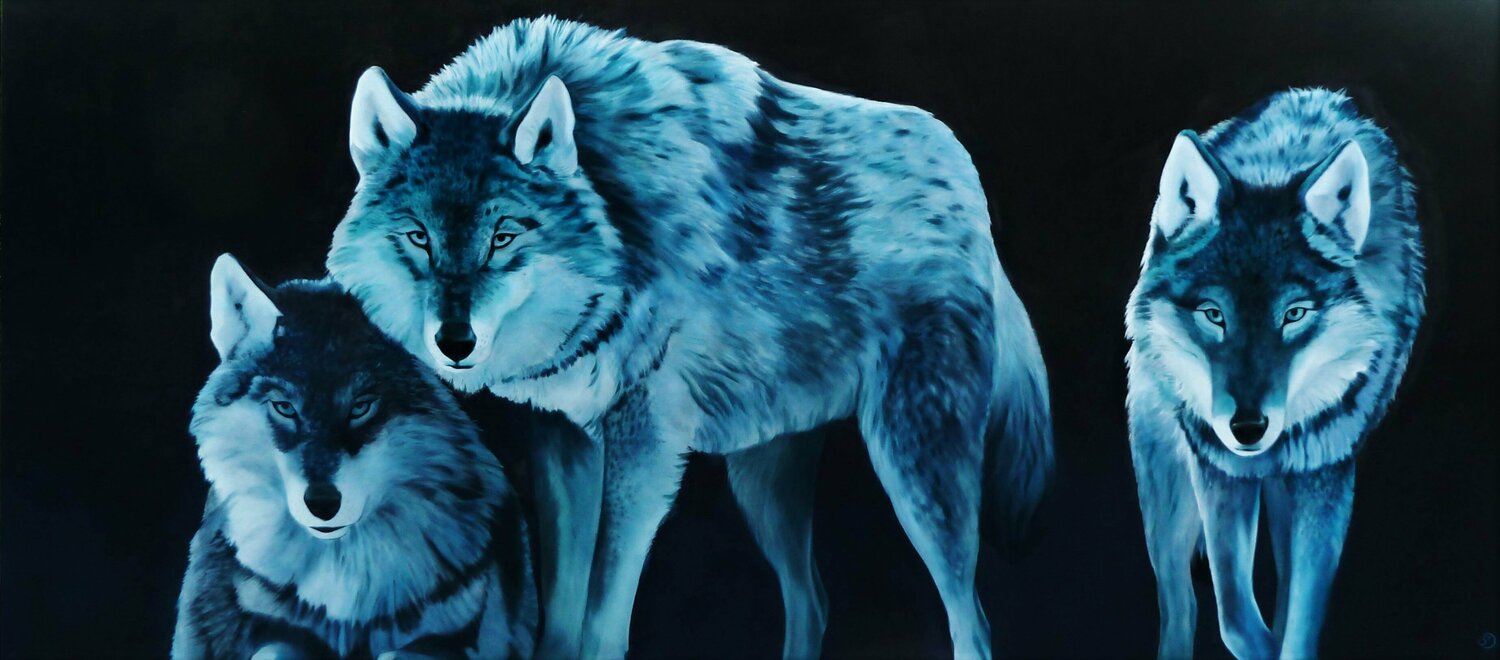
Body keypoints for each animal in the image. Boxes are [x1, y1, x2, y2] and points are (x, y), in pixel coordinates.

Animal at [173, 255, 537, 659]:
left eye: (361, 408)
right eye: (284, 408)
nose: (322, 504)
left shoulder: (463, 638)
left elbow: (401, 652)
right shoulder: (257, 629)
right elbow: (278, 647)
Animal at [326, 17, 1053, 659]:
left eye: (503, 237)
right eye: (418, 236)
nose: (455, 342)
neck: (620, 217)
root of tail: (965, 175)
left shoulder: (645, 446)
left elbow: (601, 622)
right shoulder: (563, 440)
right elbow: (559, 622)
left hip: (914, 471)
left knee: (970, 618)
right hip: (763, 481)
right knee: (813, 602)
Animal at [1125, 88, 1425, 658]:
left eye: (1294, 314)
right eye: (1214, 314)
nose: (1248, 428)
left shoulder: (1327, 473)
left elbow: (1299, 624)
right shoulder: (1218, 468)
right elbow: (1235, 618)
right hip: (1165, 488)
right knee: (1179, 603)